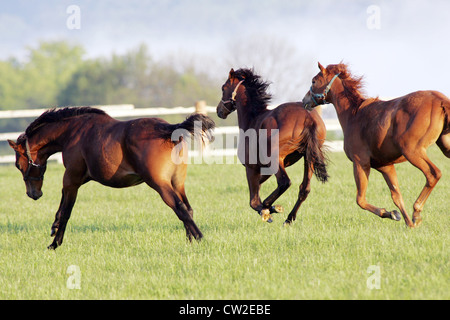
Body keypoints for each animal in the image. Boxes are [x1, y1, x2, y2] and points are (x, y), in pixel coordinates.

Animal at [7, 106, 215, 249]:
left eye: (18, 165)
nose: (33, 194)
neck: (73, 132)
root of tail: (168, 128)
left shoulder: (71, 178)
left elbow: (66, 211)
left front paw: (54, 244)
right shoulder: (79, 179)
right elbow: (62, 204)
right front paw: (54, 227)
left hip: (160, 184)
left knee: (180, 208)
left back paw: (200, 238)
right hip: (177, 183)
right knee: (188, 209)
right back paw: (190, 241)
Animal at [216, 68, 328, 225]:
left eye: (223, 88)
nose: (219, 110)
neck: (253, 119)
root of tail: (308, 117)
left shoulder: (251, 168)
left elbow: (254, 201)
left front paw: (267, 211)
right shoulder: (265, 169)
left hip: (276, 159)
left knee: (284, 182)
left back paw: (270, 206)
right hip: (309, 158)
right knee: (304, 189)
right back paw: (288, 219)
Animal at [302, 62, 450, 228]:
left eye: (314, 81)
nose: (304, 100)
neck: (354, 115)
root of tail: (441, 100)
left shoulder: (360, 163)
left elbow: (360, 199)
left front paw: (391, 214)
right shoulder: (385, 166)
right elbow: (396, 195)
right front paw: (405, 221)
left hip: (413, 152)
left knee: (433, 174)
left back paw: (416, 212)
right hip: (444, 147)